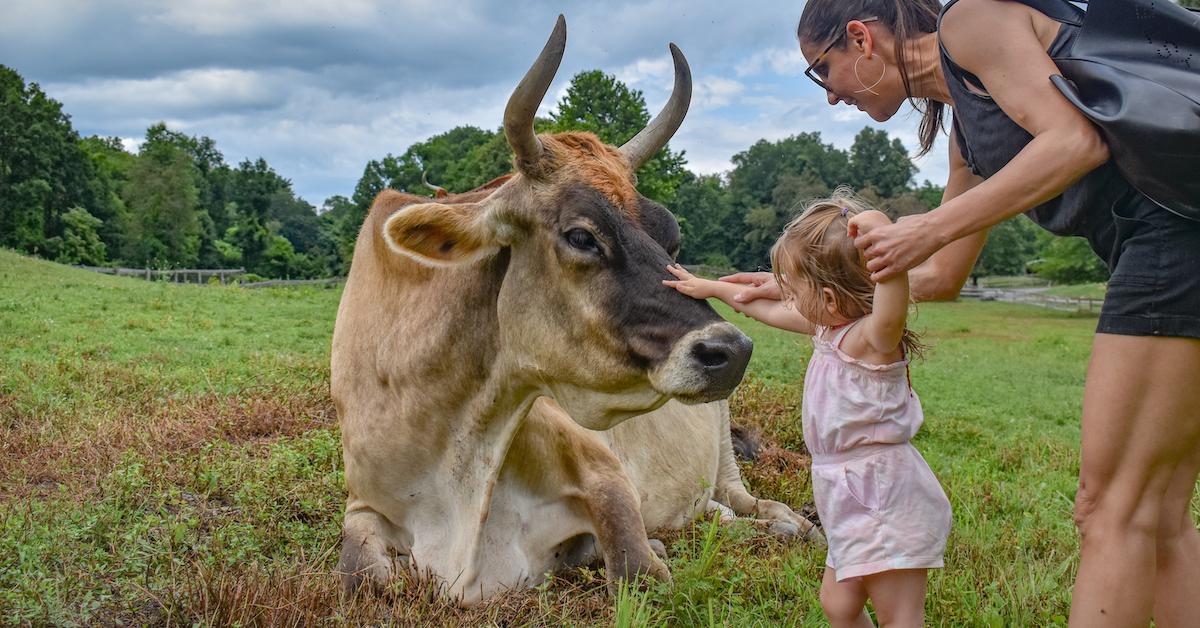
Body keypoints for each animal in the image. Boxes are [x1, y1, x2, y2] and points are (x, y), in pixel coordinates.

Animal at [331, 15, 825, 605]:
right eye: (581, 235)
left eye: (671, 238)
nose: (730, 351)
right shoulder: (363, 502)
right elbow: (360, 575)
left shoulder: (604, 472)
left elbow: (637, 565)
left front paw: (651, 549)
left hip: (725, 450)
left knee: (747, 504)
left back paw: (791, 524)